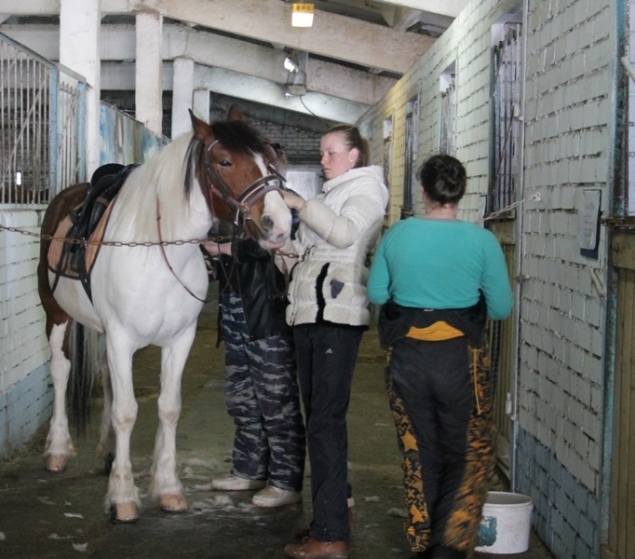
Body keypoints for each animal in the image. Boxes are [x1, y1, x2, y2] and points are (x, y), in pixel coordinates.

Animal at [35, 111, 294, 524]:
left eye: (268, 160)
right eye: (225, 161)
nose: (280, 224)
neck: (156, 251)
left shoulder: (177, 339)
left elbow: (168, 409)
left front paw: (168, 488)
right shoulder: (122, 338)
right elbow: (127, 412)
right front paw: (123, 497)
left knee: (106, 377)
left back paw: (108, 451)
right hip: (56, 313)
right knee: (60, 371)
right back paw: (58, 450)